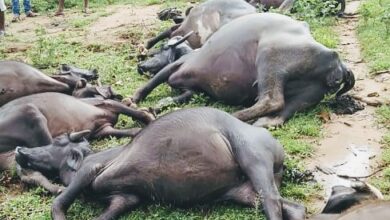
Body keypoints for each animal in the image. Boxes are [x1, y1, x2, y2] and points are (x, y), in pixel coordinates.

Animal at [0, 92, 155, 171]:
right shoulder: (105, 104)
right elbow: (137, 113)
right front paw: (149, 116)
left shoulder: (103, 128)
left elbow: (134, 130)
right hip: (31, 111)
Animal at [133, 12, 354, 127]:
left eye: (162, 49)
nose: (140, 66)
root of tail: (338, 63)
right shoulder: (192, 90)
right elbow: (175, 97)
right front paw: (155, 107)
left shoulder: (178, 66)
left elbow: (152, 82)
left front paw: (133, 100)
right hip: (306, 97)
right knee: (278, 114)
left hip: (269, 58)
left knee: (271, 100)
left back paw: (231, 117)